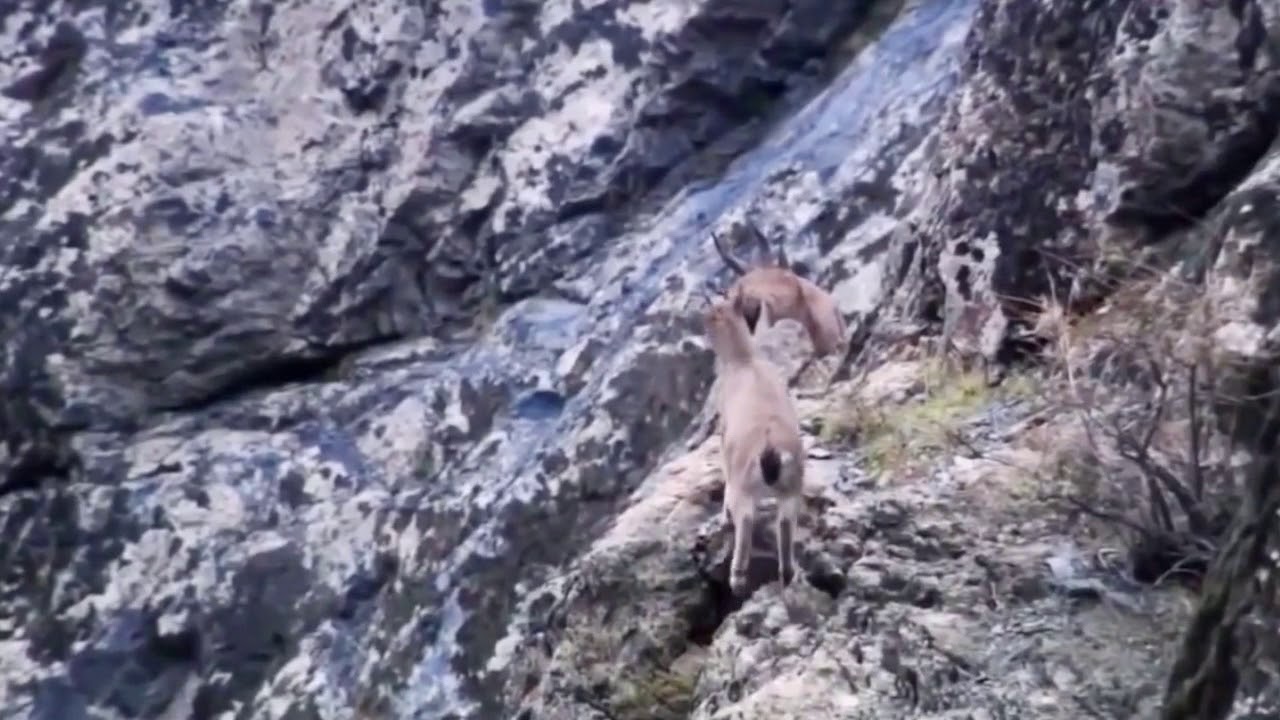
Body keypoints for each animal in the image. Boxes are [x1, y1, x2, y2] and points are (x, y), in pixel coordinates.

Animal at [703, 293, 806, 596]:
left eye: (714, 312)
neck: (744, 361)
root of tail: (771, 453)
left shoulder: (725, 436)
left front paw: (723, 516)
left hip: (746, 488)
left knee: (746, 518)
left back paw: (737, 579)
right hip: (792, 489)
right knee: (785, 522)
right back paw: (788, 573)